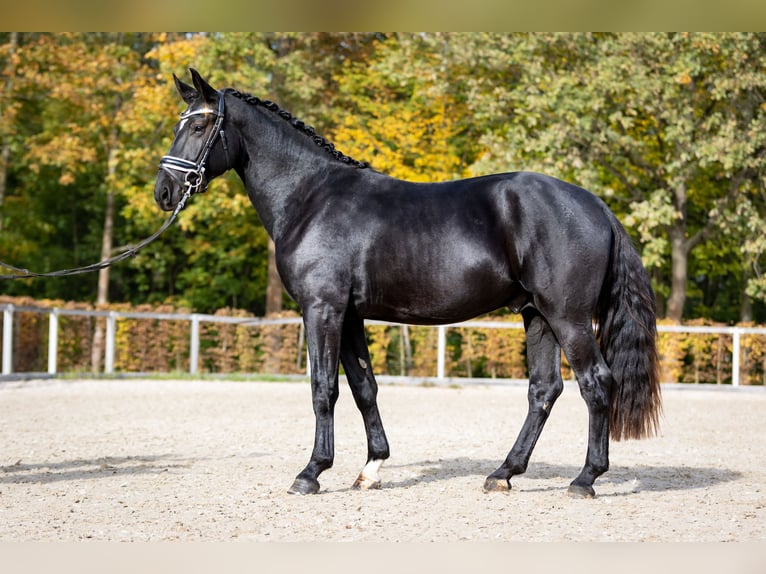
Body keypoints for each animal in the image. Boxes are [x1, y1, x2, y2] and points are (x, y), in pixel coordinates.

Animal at [154, 68, 660, 500]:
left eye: (200, 126)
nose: (164, 191)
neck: (311, 197)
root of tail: (595, 204)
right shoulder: (349, 316)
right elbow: (364, 387)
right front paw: (371, 468)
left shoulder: (322, 310)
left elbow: (323, 388)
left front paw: (311, 472)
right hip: (537, 315)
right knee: (544, 390)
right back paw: (503, 474)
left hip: (567, 317)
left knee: (596, 383)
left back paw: (585, 479)